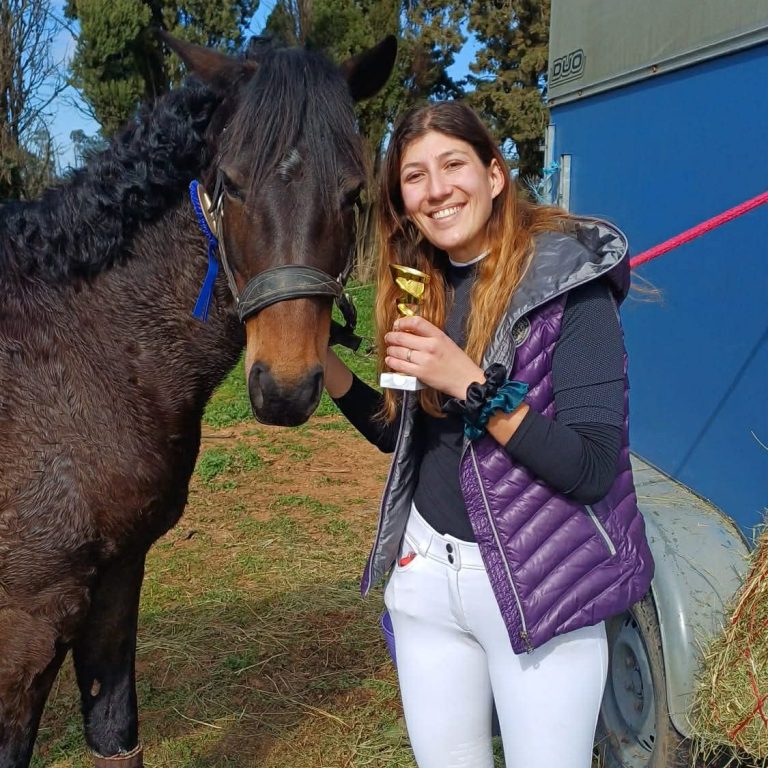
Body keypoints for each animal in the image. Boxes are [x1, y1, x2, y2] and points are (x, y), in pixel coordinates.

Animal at [0, 32, 396, 767]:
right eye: (231, 184)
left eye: (354, 193)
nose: (284, 388)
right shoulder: (26, 617)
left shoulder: (116, 574)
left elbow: (115, 730)